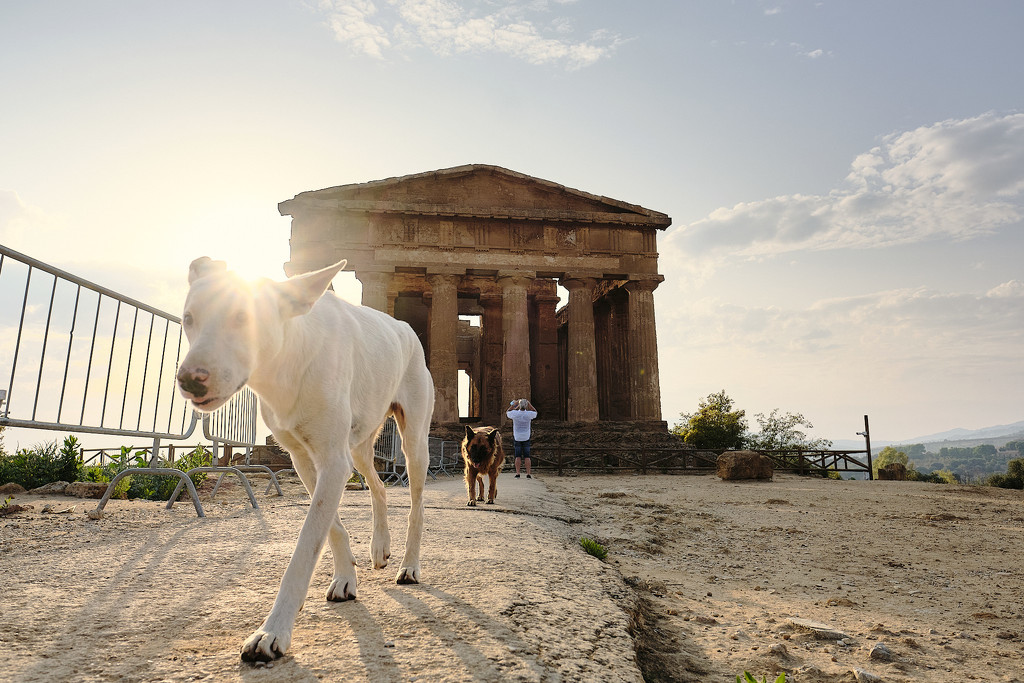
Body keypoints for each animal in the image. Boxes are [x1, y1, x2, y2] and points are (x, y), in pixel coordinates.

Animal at [176, 255, 432, 663]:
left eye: (243, 317)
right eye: (189, 318)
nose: (188, 380)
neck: (287, 363)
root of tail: (404, 327)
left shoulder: (332, 461)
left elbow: (304, 549)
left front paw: (273, 630)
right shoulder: (306, 461)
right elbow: (332, 528)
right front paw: (345, 578)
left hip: (413, 444)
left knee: (416, 506)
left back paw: (409, 565)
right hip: (359, 448)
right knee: (378, 486)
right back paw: (380, 548)